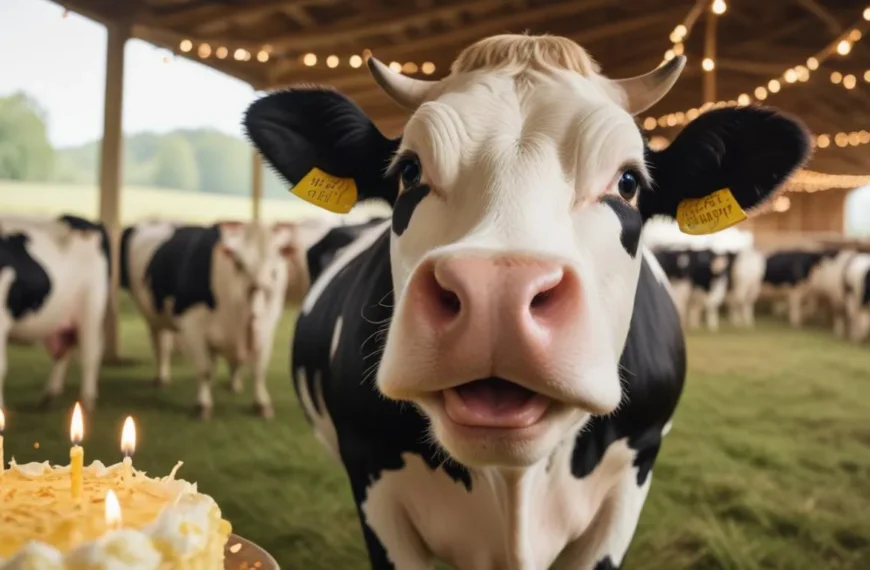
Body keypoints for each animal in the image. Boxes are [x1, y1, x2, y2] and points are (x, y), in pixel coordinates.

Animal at [0, 214, 109, 411]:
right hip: (62, 319)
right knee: (62, 351)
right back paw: (49, 395)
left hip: (91, 309)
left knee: (90, 353)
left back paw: (87, 401)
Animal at [119, 220, 295, 418]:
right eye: (239, 263)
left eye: (275, 266)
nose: (265, 288)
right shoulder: (193, 325)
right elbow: (205, 369)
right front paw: (203, 404)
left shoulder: (266, 328)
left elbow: (258, 370)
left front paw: (261, 403)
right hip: (153, 316)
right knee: (161, 345)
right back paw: (161, 377)